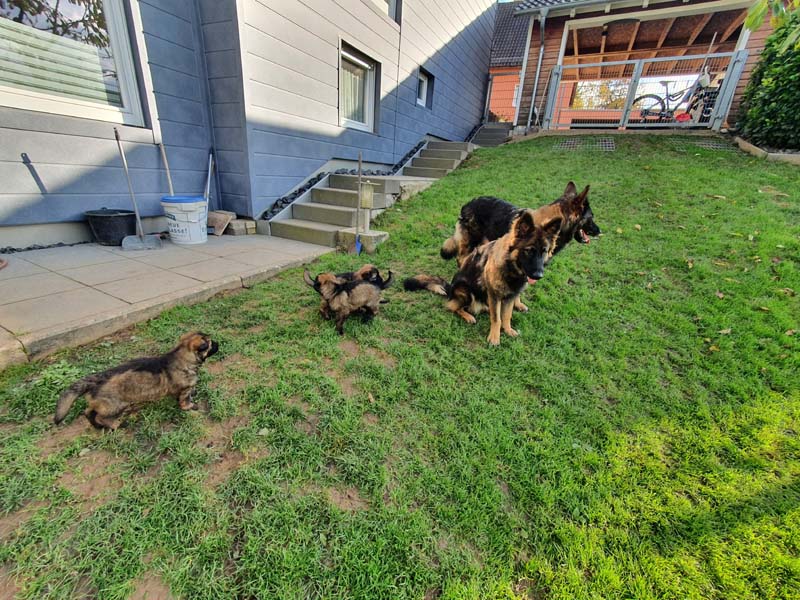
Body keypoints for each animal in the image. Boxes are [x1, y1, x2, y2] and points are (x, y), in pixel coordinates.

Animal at [53, 332, 218, 430]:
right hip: (115, 406)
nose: (218, 343)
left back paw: (97, 426)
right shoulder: (185, 389)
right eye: (211, 343)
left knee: (88, 412)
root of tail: (96, 379)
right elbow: (185, 399)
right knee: (101, 416)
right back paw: (116, 425)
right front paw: (190, 406)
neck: (183, 357)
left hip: (102, 404)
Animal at [405, 210, 563, 345]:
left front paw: (508, 330)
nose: (538, 275)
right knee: (453, 307)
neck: (510, 268)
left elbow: (506, 316)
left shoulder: (511, 296)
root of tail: (450, 288)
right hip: (465, 290)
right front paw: (494, 338)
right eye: (529, 251)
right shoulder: (494, 294)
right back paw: (469, 316)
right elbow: (496, 319)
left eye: (544, 251)